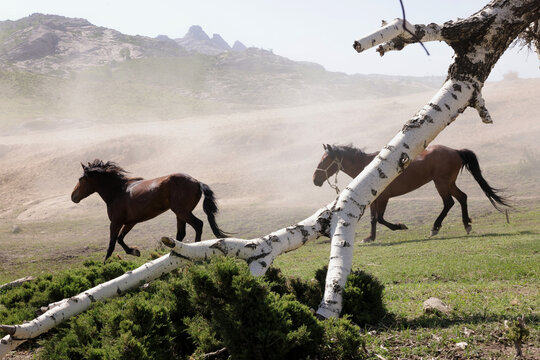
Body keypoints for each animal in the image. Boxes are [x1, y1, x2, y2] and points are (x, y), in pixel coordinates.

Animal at [70, 160, 229, 262]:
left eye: (81, 179)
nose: (73, 197)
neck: (117, 192)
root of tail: (196, 182)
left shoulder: (115, 222)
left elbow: (111, 244)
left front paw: (105, 264)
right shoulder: (130, 222)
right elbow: (120, 239)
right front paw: (135, 251)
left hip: (182, 212)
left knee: (198, 225)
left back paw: (196, 249)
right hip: (180, 214)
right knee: (181, 234)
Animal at [314, 144, 508, 242]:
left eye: (325, 160)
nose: (315, 179)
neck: (370, 169)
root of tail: (455, 151)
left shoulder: (383, 198)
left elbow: (380, 218)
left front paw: (399, 226)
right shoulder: (374, 199)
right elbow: (374, 219)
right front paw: (370, 237)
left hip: (441, 183)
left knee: (449, 203)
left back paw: (435, 228)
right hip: (449, 183)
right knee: (462, 198)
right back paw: (466, 224)